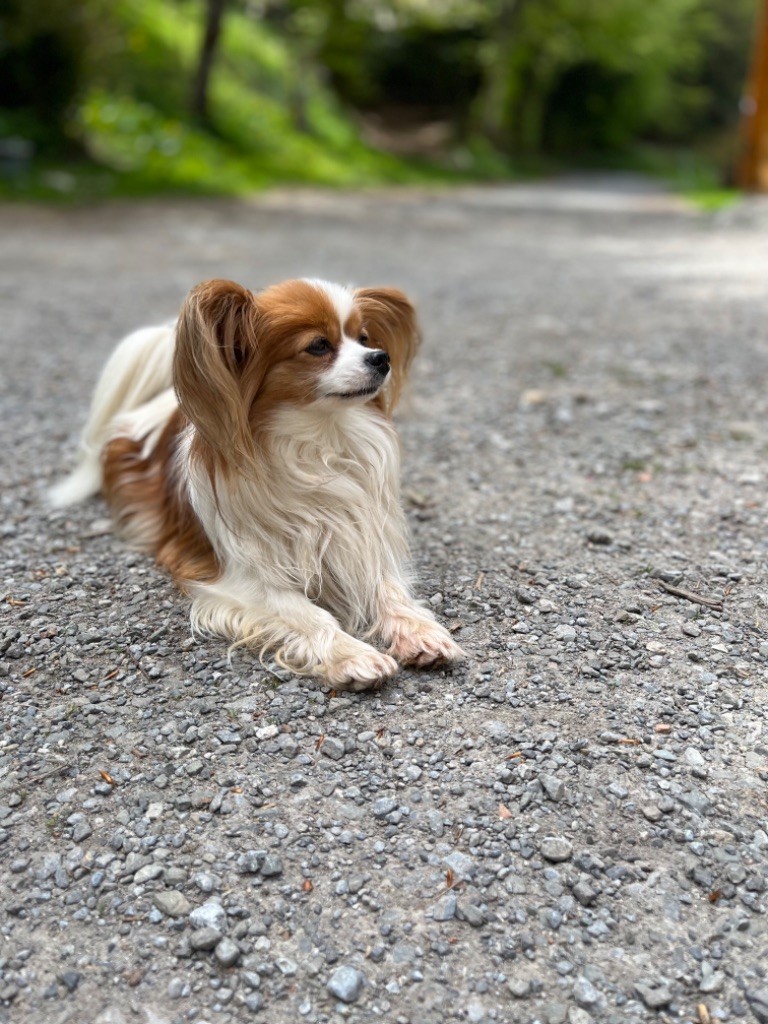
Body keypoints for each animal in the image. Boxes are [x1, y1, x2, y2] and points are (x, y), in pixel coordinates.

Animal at [52, 278, 468, 688]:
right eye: (319, 345)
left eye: (364, 338)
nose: (381, 357)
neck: (317, 442)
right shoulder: (241, 577)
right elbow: (307, 612)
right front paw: (352, 654)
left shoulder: (357, 540)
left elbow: (388, 591)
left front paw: (418, 631)